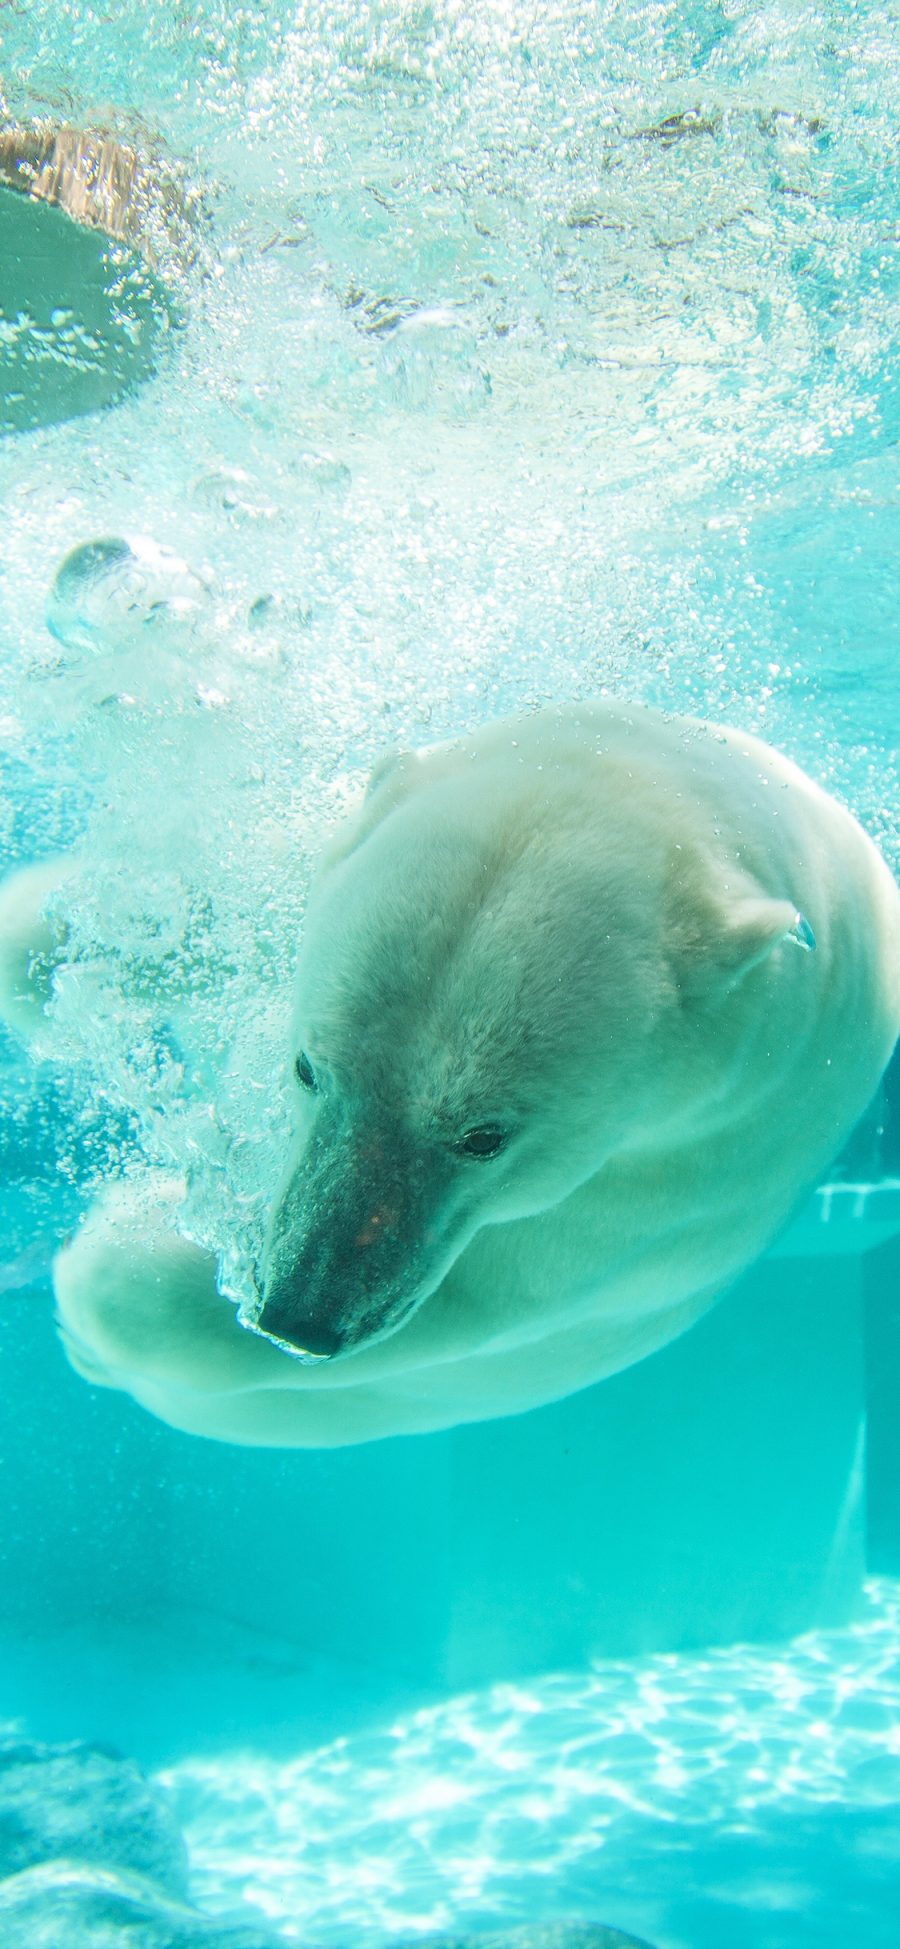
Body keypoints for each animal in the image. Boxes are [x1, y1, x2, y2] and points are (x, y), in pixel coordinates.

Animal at [1, 701, 900, 1450]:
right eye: (306, 1067)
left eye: (484, 1136)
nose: (300, 1310)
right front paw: (52, 945)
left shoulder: (667, 1191)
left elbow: (463, 1312)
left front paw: (113, 1258)